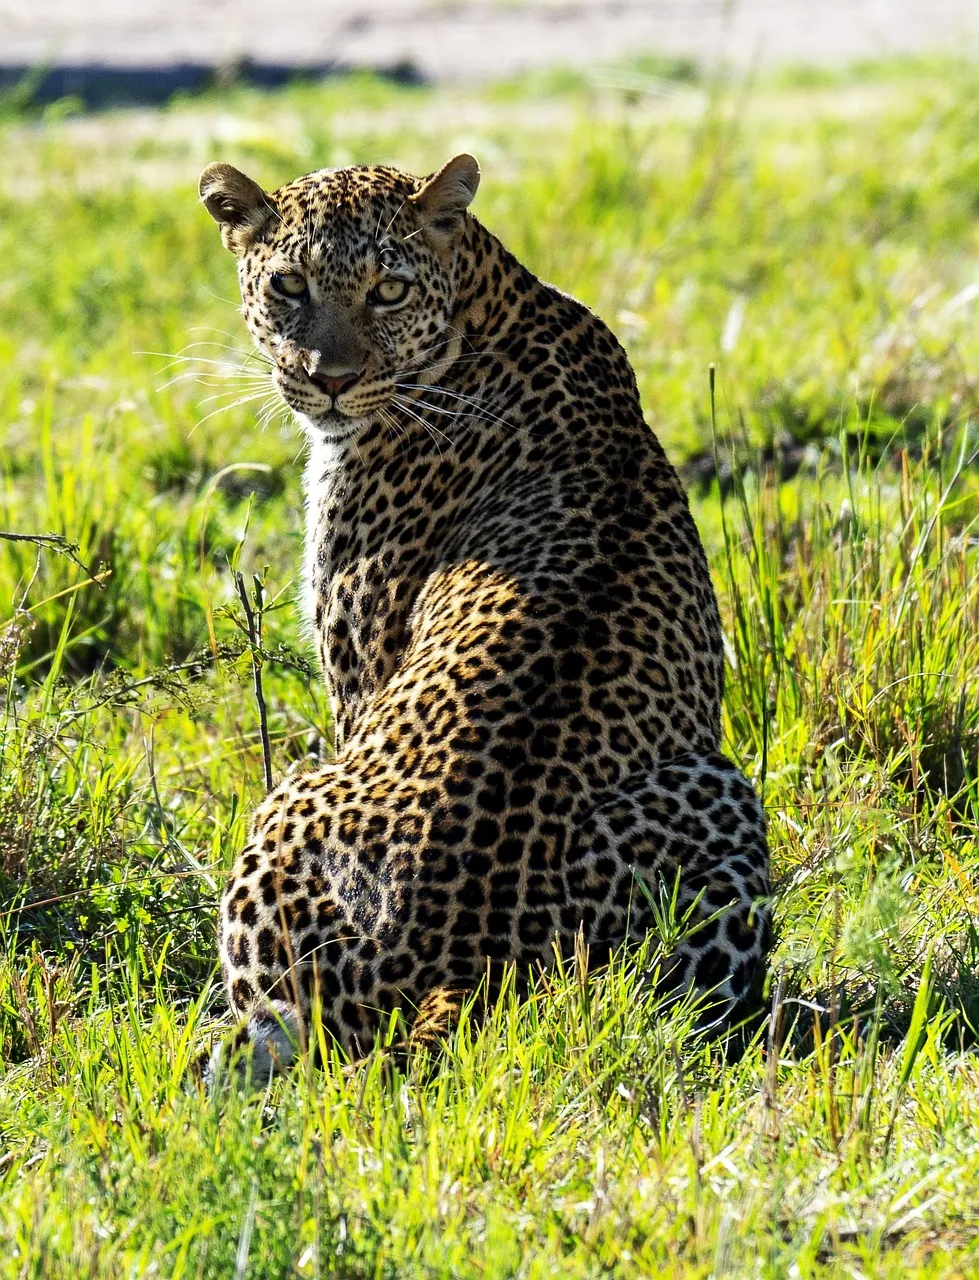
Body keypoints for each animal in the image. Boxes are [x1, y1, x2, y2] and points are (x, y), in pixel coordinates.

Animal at [197, 151, 771, 1083]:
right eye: (288, 285)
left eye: (388, 290)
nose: (330, 380)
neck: (483, 303)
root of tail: (459, 964)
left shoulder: (353, 676)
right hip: (718, 797)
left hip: (286, 810)